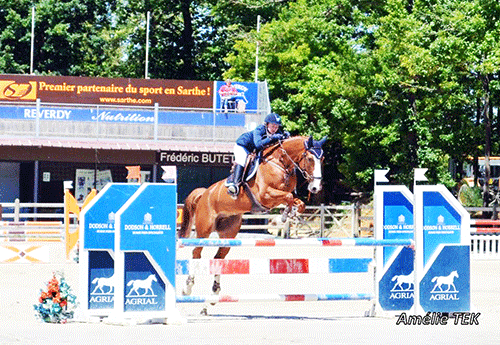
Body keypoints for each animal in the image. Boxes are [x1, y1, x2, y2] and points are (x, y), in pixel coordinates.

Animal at [178, 134, 326, 298]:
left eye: (322, 158)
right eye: (310, 158)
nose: (315, 187)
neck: (280, 163)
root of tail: (204, 193)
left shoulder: (281, 196)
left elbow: (298, 203)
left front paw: (291, 213)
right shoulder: (265, 195)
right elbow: (287, 197)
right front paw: (284, 216)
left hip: (229, 233)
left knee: (219, 257)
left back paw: (215, 290)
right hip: (204, 230)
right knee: (196, 253)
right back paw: (187, 287)